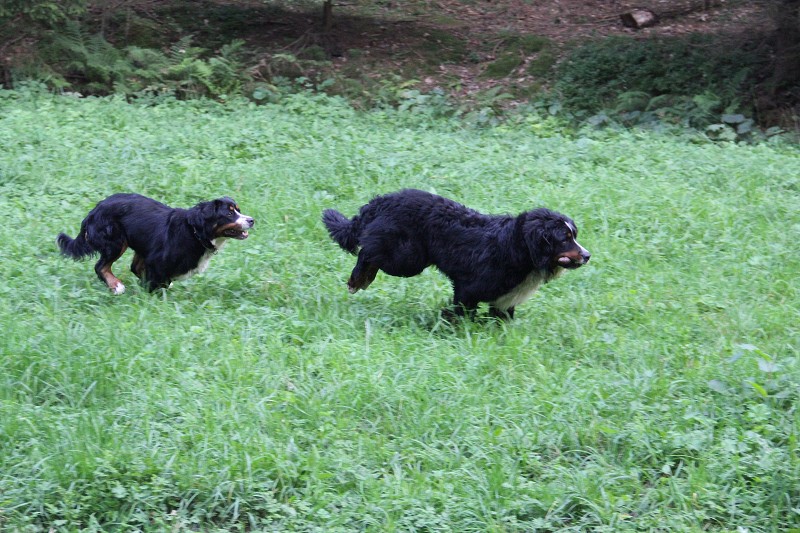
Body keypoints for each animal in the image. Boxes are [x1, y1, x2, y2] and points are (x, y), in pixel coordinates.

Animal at [57, 192, 253, 294]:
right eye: (229, 213)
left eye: (238, 210)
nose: (251, 220)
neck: (195, 232)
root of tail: (94, 210)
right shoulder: (156, 260)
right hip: (115, 241)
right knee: (101, 267)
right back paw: (116, 286)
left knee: (133, 266)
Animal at [322, 188, 592, 318]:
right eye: (565, 238)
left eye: (574, 235)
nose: (588, 255)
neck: (517, 247)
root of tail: (382, 200)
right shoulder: (468, 288)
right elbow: (462, 313)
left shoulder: (503, 302)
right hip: (407, 258)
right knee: (368, 252)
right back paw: (358, 279)